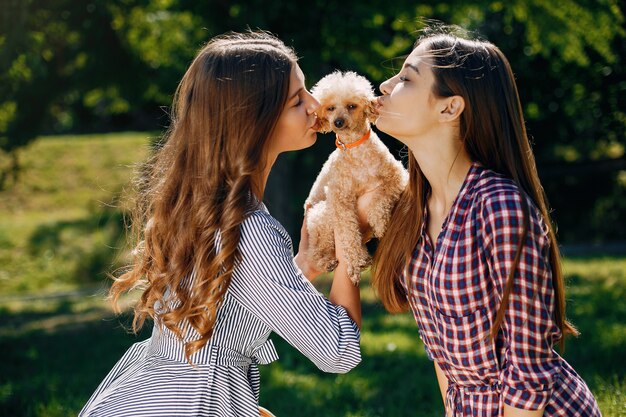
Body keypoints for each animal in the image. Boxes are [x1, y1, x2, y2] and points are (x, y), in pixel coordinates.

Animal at [304, 70, 408, 282]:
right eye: (330, 108)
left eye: (351, 106)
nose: (338, 122)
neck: (355, 148)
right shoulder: (339, 197)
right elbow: (347, 230)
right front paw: (355, 262)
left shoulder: (396, 176)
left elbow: (381, 198)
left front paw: (381, 223)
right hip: (321, 215)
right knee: (315, 252)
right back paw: (326, 261)